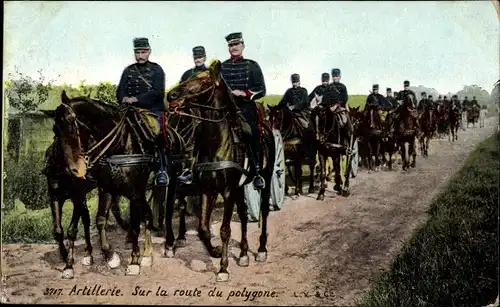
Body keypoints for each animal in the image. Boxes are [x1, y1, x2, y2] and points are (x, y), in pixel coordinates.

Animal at [164, 60, 276, 284]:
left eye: (204, 80)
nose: (171, 95)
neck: (217, 143)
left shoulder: (227, 191)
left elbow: (225, 230)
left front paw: (223, 268)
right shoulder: (209, 190)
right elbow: (203, 228)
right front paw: (215, 252)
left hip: (266, 179)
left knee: (264, 212)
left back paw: (261, 250)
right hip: (239, 188)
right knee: (243, 214)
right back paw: (243, 254)